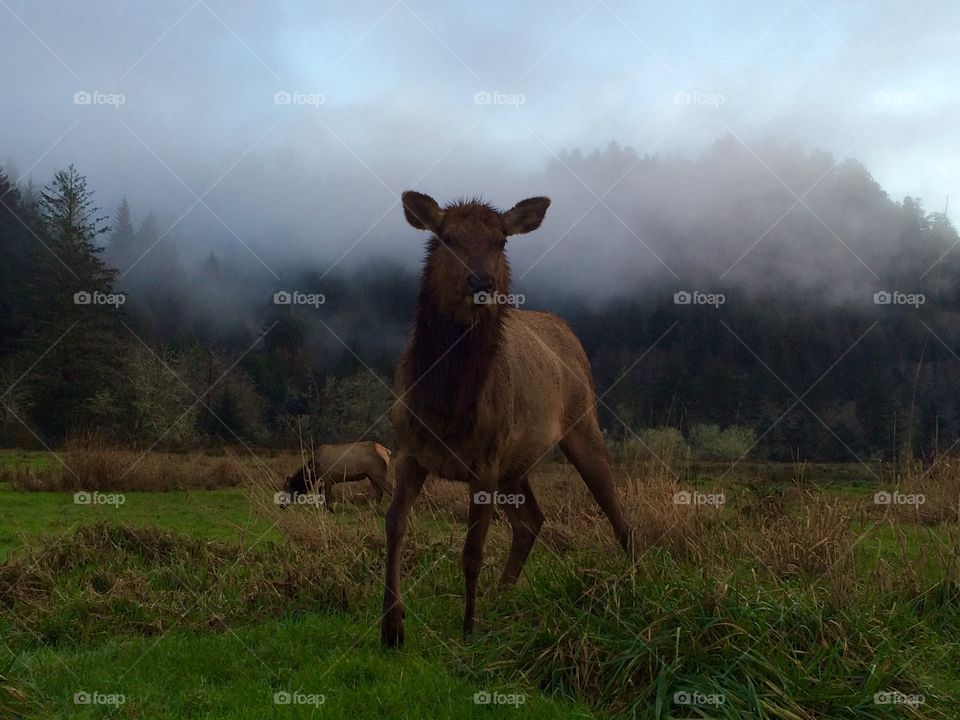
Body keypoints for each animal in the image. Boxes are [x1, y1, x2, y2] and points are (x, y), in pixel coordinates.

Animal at [382, 191, 636, 648]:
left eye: (500, 241)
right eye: (447, 238)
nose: (481, 283)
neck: (446, 407)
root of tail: (568, 331)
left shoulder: (484, 461)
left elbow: (473, 551)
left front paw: (468, 628)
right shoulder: (409, 448)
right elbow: (395, 525)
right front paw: (391, 626)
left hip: (580, 423)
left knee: (618, 515)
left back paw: (636, 582)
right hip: (514, 465)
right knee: (531, 520)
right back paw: (502, 597)